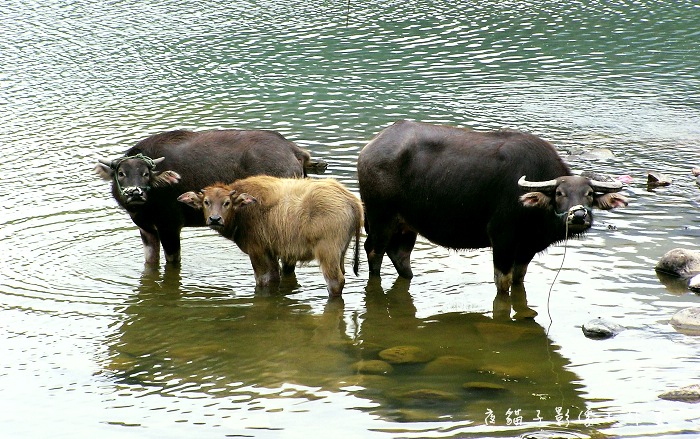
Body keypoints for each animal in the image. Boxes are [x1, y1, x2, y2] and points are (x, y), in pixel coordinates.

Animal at [95, 127, 326, 264]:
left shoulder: (170, 226)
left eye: (145, 173)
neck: (146, 207)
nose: (135, 193)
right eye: (121, 173)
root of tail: (295, 152)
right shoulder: (146, 229)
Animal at [178, 177, 364, 298]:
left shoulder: (257, 251)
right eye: (206, 202)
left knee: (335, 281)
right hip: (341, 252)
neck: (243, 211)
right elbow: (275, 277)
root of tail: (351, 200)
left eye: (227, 202)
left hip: (327, 252)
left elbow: (263, 279)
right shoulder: (271, 251)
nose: (215, 219)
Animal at [356, 120, 628, 312]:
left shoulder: (526, 248)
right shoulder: (502, 239)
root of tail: (368, 149)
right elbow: (502, 283)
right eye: (560, 193)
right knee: (374, 251)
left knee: (399, 254)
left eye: (589, 194)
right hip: (381, 219)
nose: (579, 216)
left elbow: (519, 281)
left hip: (406, 225)